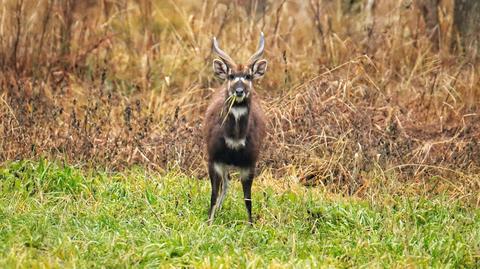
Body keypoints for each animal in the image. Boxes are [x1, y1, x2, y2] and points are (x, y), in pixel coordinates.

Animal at [203, 32, 268, 223]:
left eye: (248, 76)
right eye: (231, 76)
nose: (239, 91)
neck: (234, 140)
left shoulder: (249, 163)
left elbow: (248, 199)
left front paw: (251, 224)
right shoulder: (214, 159)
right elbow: (213, 194)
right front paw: (209, 222)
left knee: (228, 183)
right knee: (225, 184)